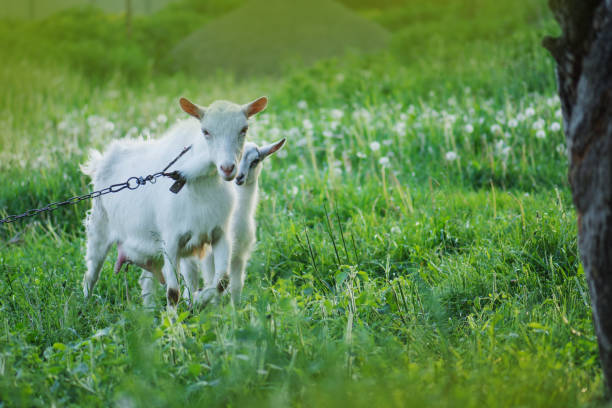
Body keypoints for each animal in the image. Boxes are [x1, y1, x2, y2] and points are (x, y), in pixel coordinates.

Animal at [82, 96, 268, 306]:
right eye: (205, 131)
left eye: (244, 129)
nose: (228, 168)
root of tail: (101, 161)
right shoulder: (170, 241)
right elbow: (173, 292)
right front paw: (184, 310)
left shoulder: (220, 235)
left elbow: (222, 281)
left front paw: (198, 301)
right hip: (99, 229)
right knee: (91, 273)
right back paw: (84, 305)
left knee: (146, 280)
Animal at [177, 138, 286, 306]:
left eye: (255, 160)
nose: (239, 177)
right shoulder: (209, 258)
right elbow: (213, 283)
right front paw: (215, 309)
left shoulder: (240, 255)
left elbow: (236, 285)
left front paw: (237, 309)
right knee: (189, 280)